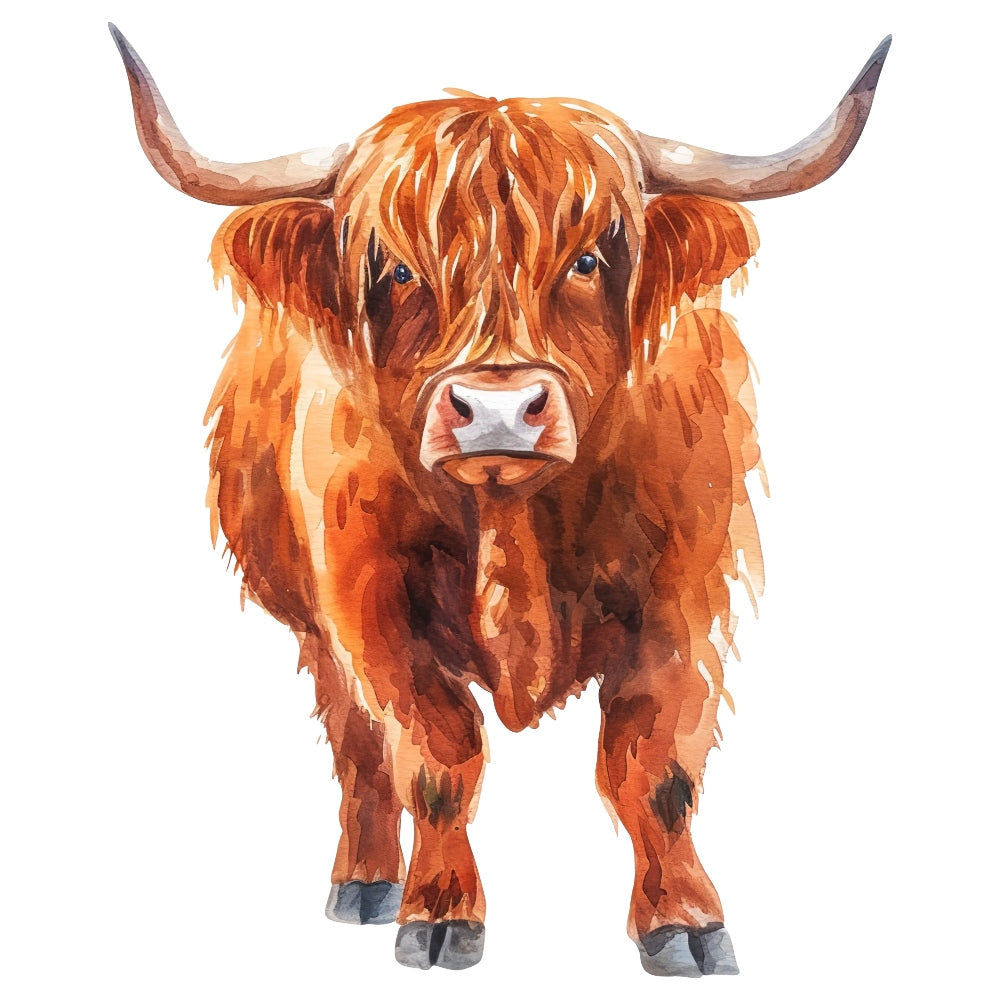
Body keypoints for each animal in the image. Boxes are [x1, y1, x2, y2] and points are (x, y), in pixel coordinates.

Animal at [111, 24, 889, 975]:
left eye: (587, 259)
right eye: (397, 270)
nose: (495, 408)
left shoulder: (688, 593)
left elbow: (654, 765)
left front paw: (684, 923)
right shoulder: (367, 604)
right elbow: (437, 753)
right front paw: (440, 915)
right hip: (307, 619)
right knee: (356, 742)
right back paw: (365, 882)